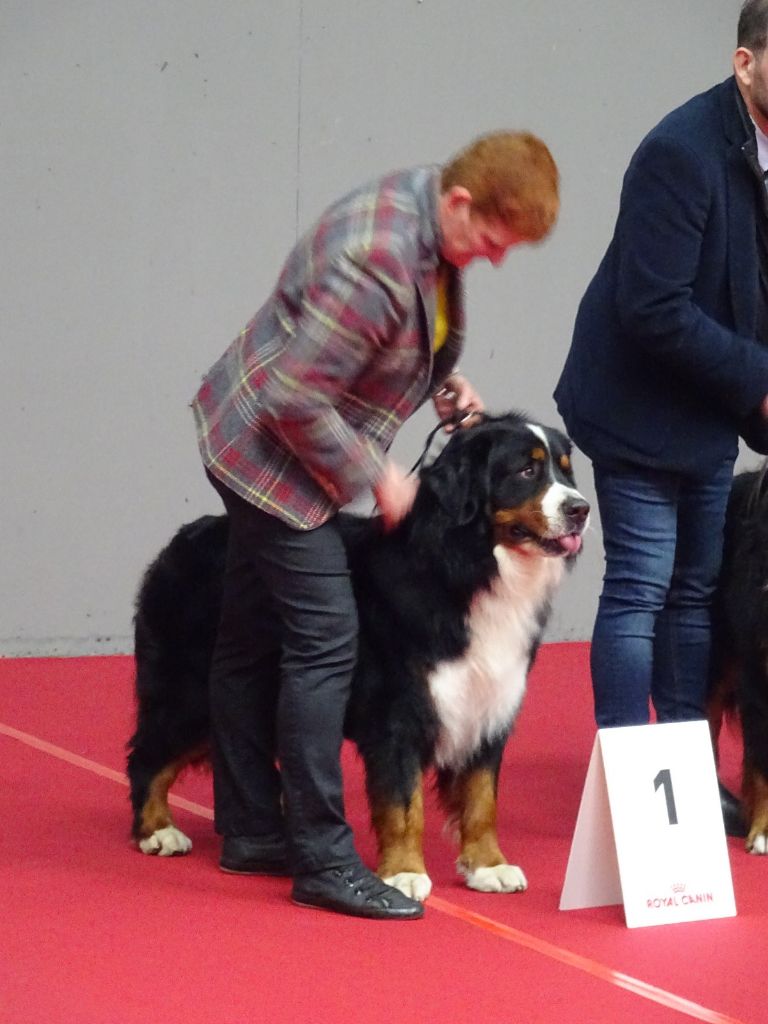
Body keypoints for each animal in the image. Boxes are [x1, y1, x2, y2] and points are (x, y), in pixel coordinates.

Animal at [129, 413, 593, 897]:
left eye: (565, 472)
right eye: (526, 470)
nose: (580, 510)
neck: (467, 570)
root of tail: (179, 541)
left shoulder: (488, 703)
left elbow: (482, 797)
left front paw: (488, 866)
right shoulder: (398, 712)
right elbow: (405, 806)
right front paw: (404, 873)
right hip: (189, 692)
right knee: (147, 754)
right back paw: (157, 830)